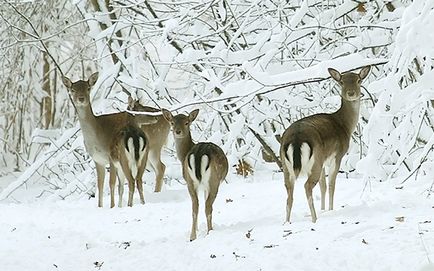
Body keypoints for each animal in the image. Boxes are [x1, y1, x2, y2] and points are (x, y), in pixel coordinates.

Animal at [60, 72, 157, 208]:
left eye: (88, 88)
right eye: (72, 90)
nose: (81, 99)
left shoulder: (110, 158)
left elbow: (111, 183)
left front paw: (112, 206)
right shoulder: (97, 160)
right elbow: (100, 185)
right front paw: (101, 206)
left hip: (127, 159)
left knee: (132, 180)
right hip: (143, 157)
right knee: (138, 180)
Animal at [161, 109, 229, 241]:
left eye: (186, 122)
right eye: (172, 122)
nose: (177, 131)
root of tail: (199, 153)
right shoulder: (206, 185)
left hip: (190, 182)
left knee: (195, 206)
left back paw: (192, 236)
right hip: (214, 181)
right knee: (207, 206)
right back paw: (209, 232)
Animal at [280, 65, 372, 223]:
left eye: (358, 80)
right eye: (341, 82)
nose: (351, 93)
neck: (345, 126)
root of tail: (296, 139)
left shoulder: (322, 161)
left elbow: (322, 185)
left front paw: (323, 209)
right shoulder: (337, 156)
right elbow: (331, 184)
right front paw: (330, 210)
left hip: (287, 166)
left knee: (289, 193)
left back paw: (287, 222)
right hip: (314, 161)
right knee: (307, 186)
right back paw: (314, 219)